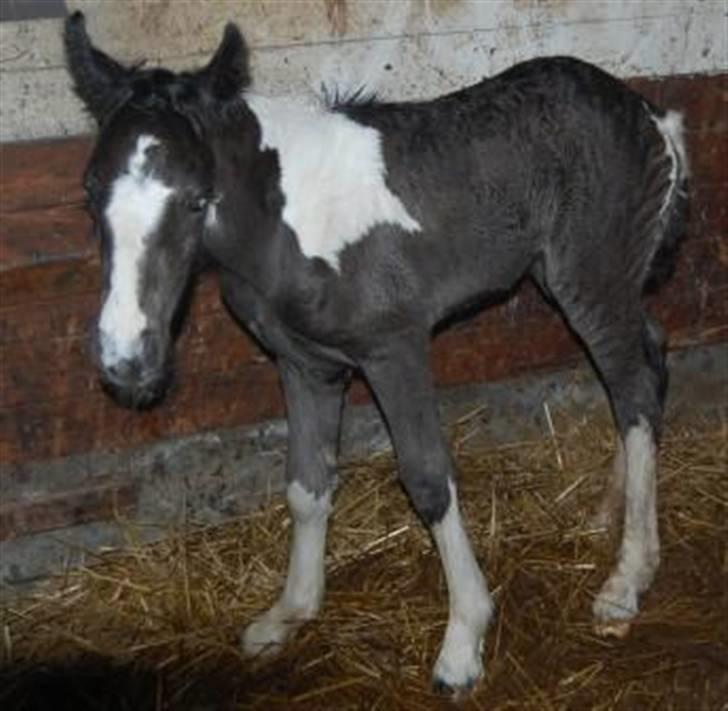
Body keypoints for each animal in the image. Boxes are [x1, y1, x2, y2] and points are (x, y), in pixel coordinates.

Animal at [65, 13, 684, 696]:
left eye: (196, 199)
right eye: (90, 193)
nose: (126, 361)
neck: (284, 221)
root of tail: (650, 114)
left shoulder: (395, 349)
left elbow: (428, 479)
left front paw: (463, 640)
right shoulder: (305, 364)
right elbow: (306, 484)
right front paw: (288, 614)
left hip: (589, 281)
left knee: (633, 392)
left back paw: (626, 579)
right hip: (578, 280)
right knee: (648, 362)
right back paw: (607, 514)